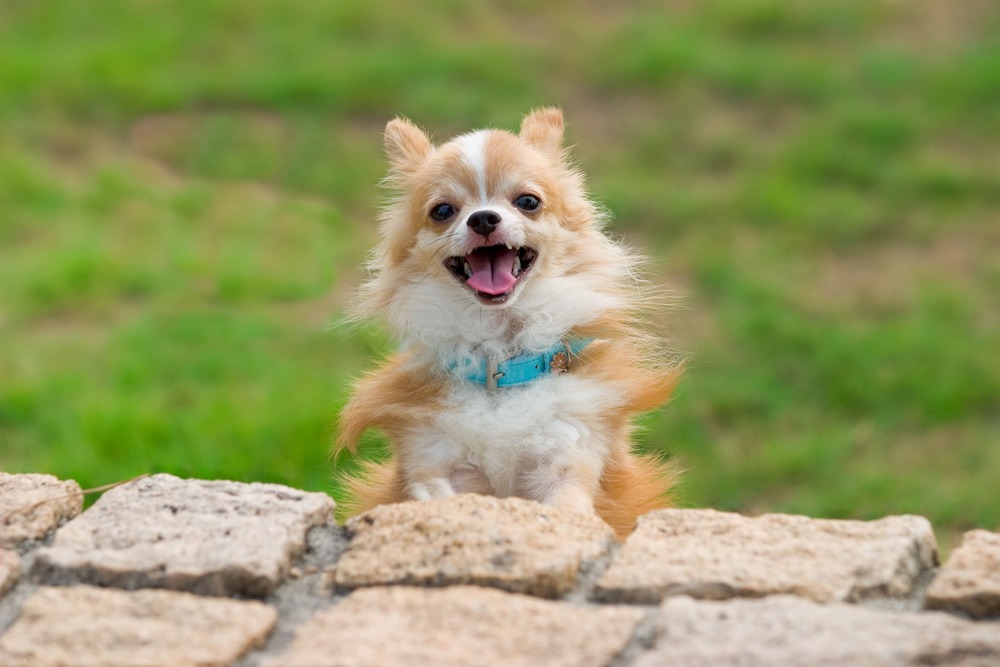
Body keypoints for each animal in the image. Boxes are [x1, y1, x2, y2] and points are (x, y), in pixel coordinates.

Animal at [336, 108, 680, 536]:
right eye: (442, 211)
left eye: (528, 202)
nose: (483, 218)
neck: (501, 362)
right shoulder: (432, 454)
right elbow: (434, 489)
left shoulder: (568, 456)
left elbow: (568, 505)